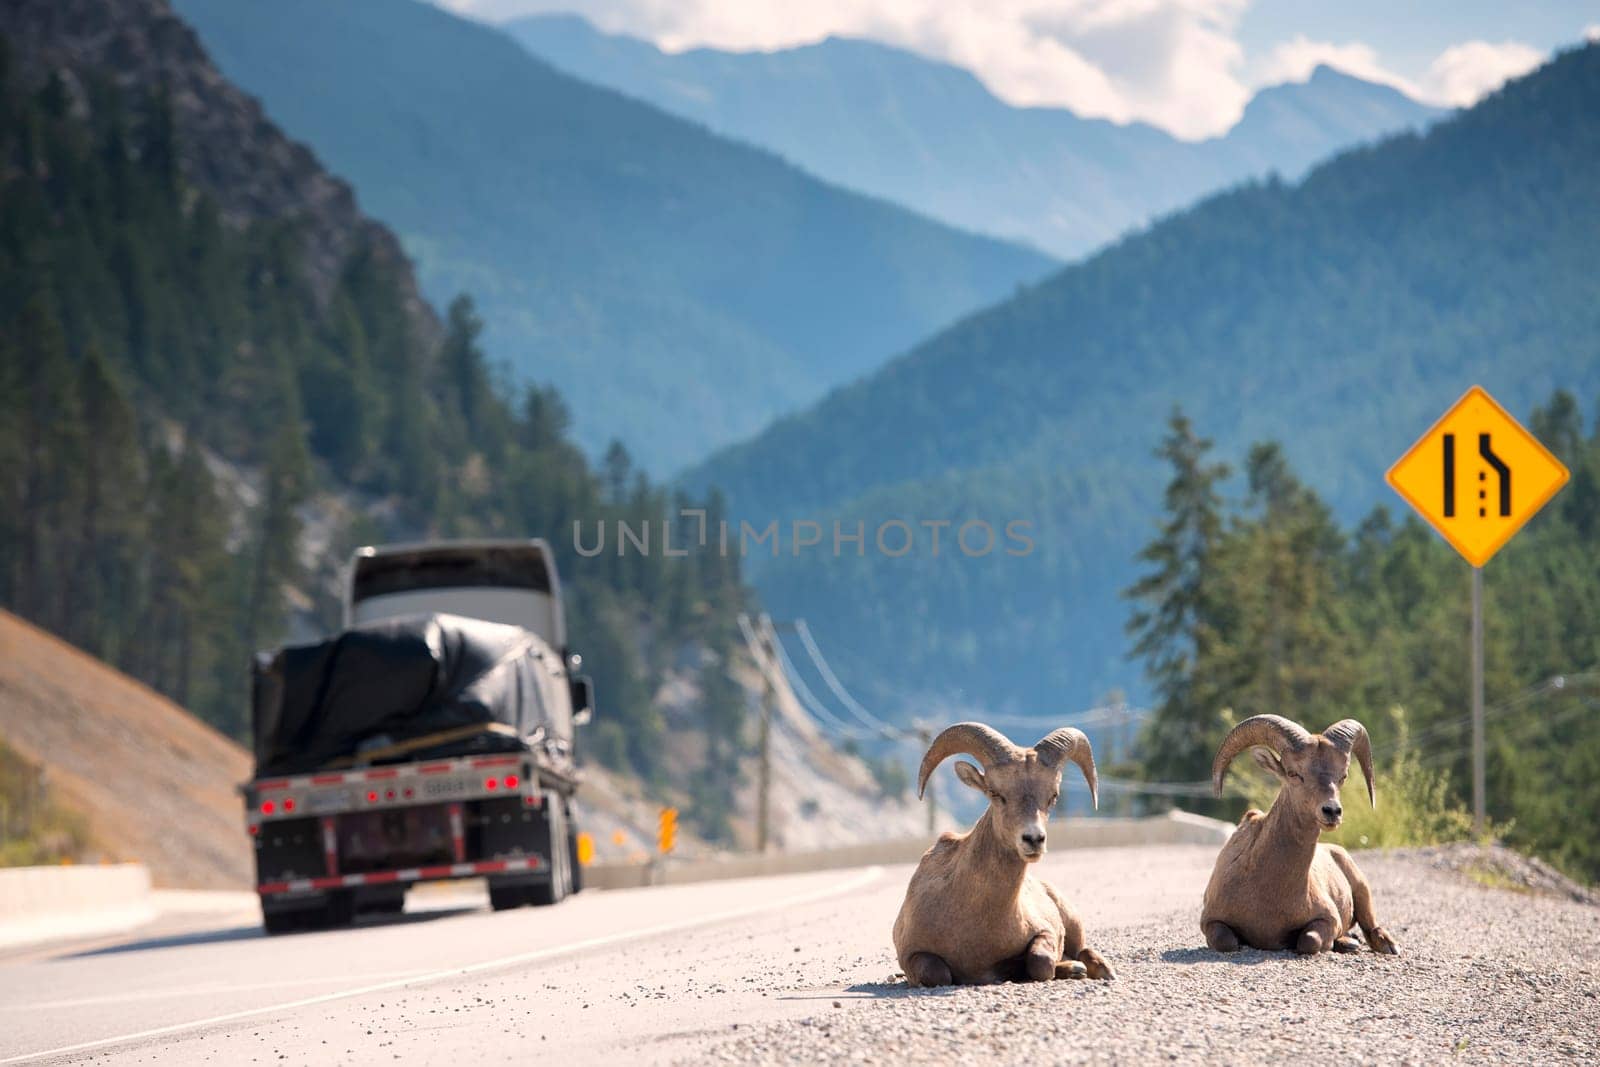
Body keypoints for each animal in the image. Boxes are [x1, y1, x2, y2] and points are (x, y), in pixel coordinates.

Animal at [889, 723, 1113, 991]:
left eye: (1053, 796)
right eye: (996, 793)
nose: (1034, 839)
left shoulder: (1045, 931)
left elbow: (1041, 961)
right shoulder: (913, 955)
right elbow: (937, 973)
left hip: (1073, 921)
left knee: (1083, 950)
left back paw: (1097, 970)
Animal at [1203, 716, 1401, 959]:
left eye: (1342, 776)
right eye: (1293, 773)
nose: (1332, 811)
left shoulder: (1327, 919)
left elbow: (1310, 940)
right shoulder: (1211, 922)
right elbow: (1226, 942)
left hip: (1361, 886)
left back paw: (1380, 945)